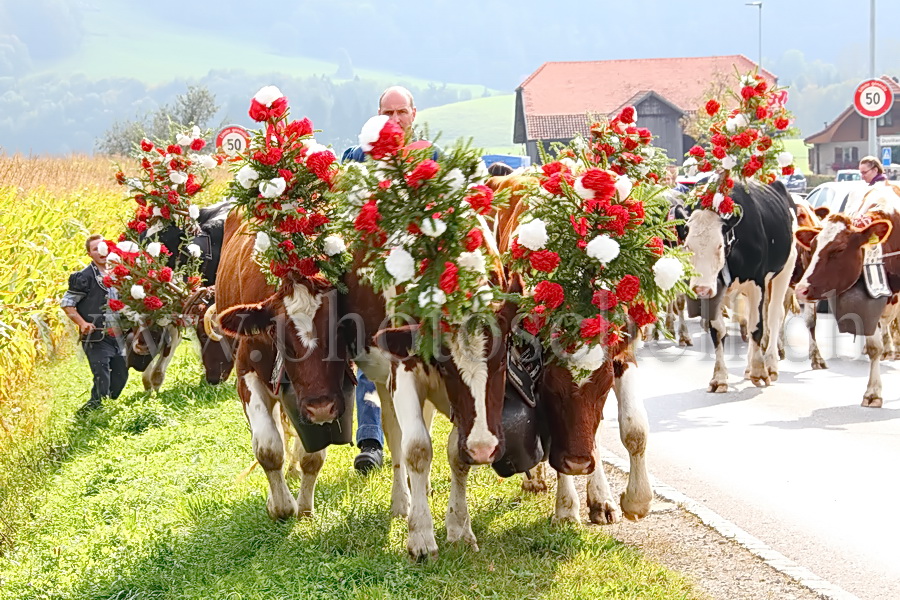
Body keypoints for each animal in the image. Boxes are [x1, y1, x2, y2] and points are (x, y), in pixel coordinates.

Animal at [214, 212, 352, 520]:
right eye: (278, 335)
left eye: (340, 332)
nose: (320, 407)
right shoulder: (247, 374)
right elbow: (268, 447)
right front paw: (280, 506)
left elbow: (312, 455)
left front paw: (304, 506)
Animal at [684, 180, 796, 392]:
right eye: (687, 246)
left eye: (719, 246)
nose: (701, 289)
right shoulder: (715, 289)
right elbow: (718, 331)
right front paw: (719, 377)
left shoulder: (757, 283)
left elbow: (757, 327)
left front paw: (760, 371)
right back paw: (748, 367)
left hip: (785, 270)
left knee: (774, 316)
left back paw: (770, 365)